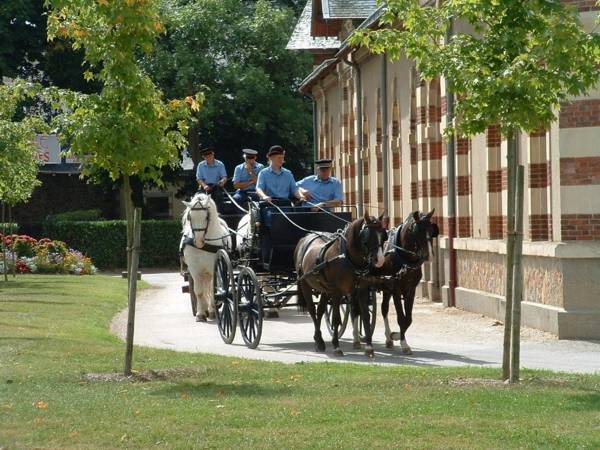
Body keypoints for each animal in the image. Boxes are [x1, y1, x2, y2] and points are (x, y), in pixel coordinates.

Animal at [180, 193, 232, 324]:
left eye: (207, 217)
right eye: (190, 217)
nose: (198, 242)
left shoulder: (214, 267)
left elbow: (213, 290)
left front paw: (212, 311)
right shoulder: (194, 269)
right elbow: (199, 291)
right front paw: (200, 313)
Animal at [296, 213, 390, 356]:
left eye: (384, 235)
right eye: (368, 236)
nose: (379, 260)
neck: (348, 257)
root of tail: (305, 238)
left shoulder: (362, 289)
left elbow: (365, 315)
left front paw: (369, 346)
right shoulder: (336, 292)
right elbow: (336, 318)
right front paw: (336, 346)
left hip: (324, 289)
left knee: (320, 310)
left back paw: (319, 340)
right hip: (305, 285)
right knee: (312, 310)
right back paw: (319, 341)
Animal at [372, 211, 438, 356]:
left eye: (432, 231)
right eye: (417, 231)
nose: (430, 255)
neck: (404, 258)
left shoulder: (410, 290)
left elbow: (408, 319)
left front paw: (395, 335)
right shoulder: (396, 289)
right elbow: (401, 318)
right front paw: (404, 344)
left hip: (386, 288)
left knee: (384, 308)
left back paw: (388, 338)